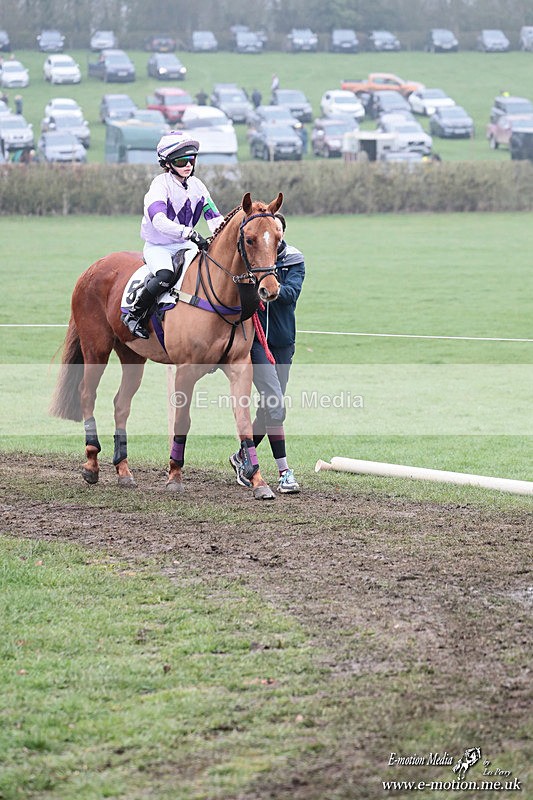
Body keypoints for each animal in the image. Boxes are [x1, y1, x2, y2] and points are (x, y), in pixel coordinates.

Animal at [50, 192, 283, 500]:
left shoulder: (240, 367)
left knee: (121, 404)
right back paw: (91, 463)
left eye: (278, 238)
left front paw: (257, 480)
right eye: (250, 239)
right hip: (96, 348)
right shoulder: (186, 369)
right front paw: (174, 474)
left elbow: (243, 421)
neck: (218, 296)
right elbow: (182, 421)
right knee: (88, 394)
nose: (270, 289)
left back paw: (123, 470)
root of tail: (93, 268)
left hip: (132, 356)